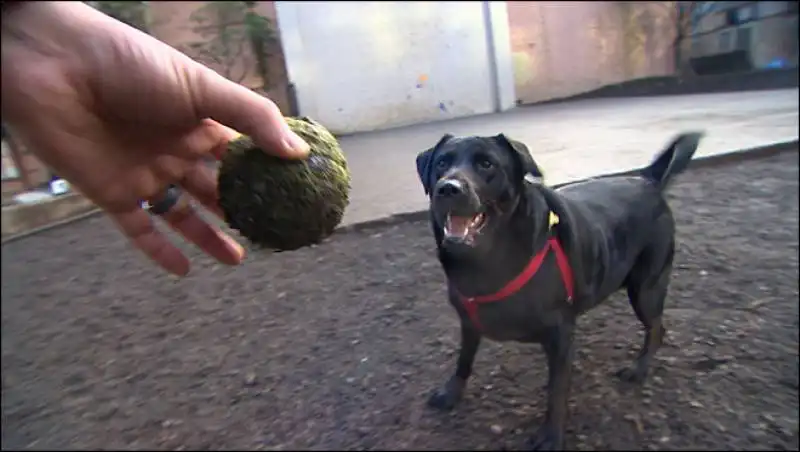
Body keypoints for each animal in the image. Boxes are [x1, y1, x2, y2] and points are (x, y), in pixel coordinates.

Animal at [416, 131, 704, 448]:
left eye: (486, 164)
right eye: (442, 163)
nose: (447, 188)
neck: (487, 260)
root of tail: (647, 179)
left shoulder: (560, 337)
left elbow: (556, 391)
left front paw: (551, 436)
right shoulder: (468, 322)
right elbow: (463, 360)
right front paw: (451, 393)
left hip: (645, 289)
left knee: (656, 328)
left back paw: (639, 369)